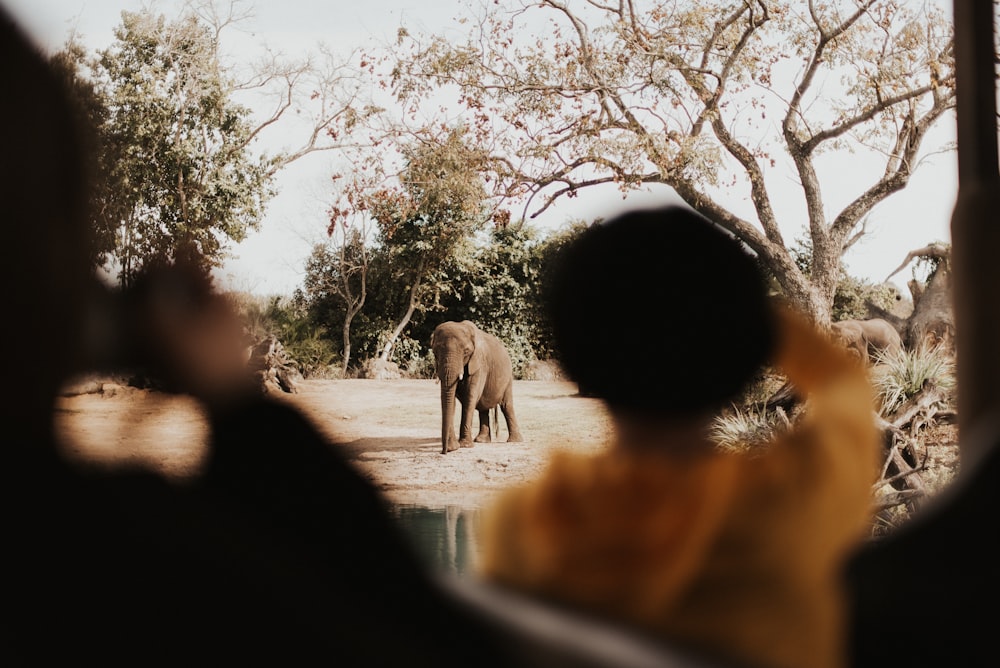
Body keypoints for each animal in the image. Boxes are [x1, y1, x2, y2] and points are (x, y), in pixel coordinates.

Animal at [430, 320, 524, 456]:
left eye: (466, 351)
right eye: (435, 352)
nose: (444, 452)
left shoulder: (479, 363)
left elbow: (470, 397)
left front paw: (465, 446)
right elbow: (451, 400)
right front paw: (454, 447)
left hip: (508, 377)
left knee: (506, 405)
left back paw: (515, 441)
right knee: (483, 408)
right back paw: (481, 440)